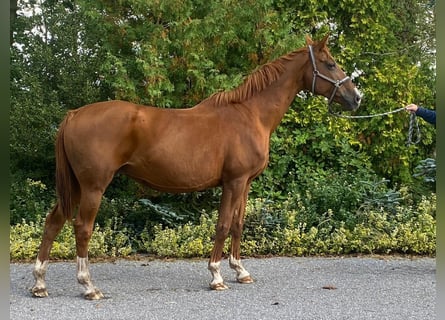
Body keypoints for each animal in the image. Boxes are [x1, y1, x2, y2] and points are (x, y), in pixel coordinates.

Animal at [31, 33, 360, 298]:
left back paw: (40, 284)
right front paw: (216, 276)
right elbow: (223, 225)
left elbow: (238, 225)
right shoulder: (233, 181)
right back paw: (88, 286)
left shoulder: (245, 183)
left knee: (53, 222)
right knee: (82, 228)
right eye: (330, 64)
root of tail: (74, 115)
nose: (356, 97)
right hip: (93, 187)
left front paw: (241, 272)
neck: (250, 114)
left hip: (75, 186)